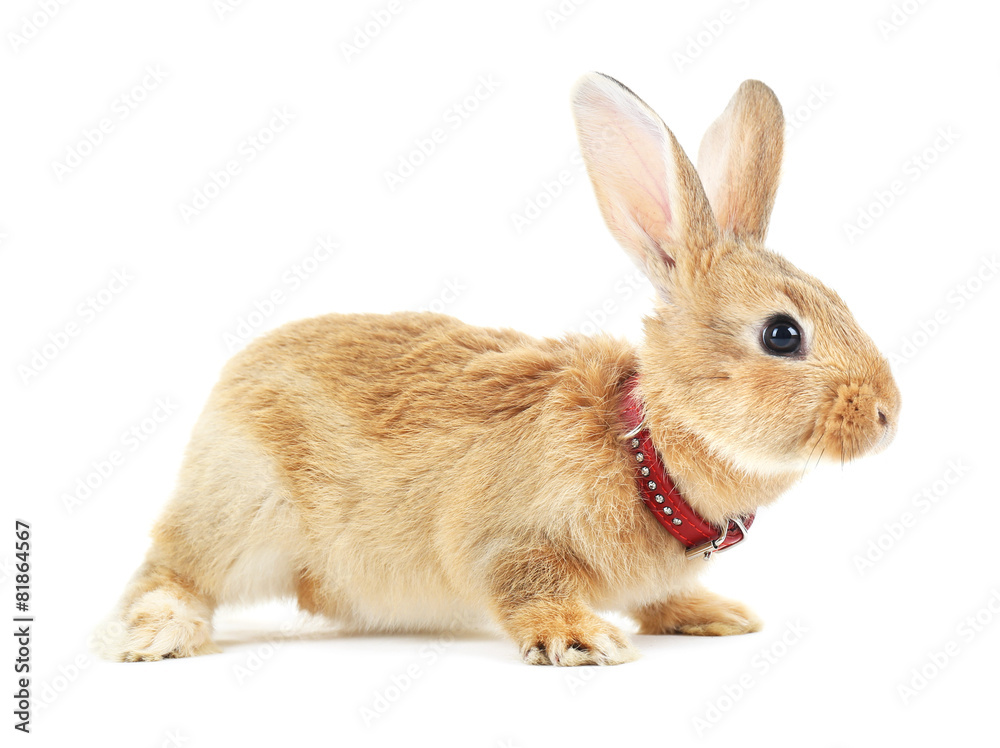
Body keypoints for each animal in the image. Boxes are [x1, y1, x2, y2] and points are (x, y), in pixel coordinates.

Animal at [98, 72, 899, 666]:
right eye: (782, 334)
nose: (890, 415)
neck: (646, 447)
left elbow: (656, 599)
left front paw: (713, 615)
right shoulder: (507, 541)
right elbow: (525, 588)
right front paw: (582, 640)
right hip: (240, 513)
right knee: (172, 571)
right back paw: (155, 634)